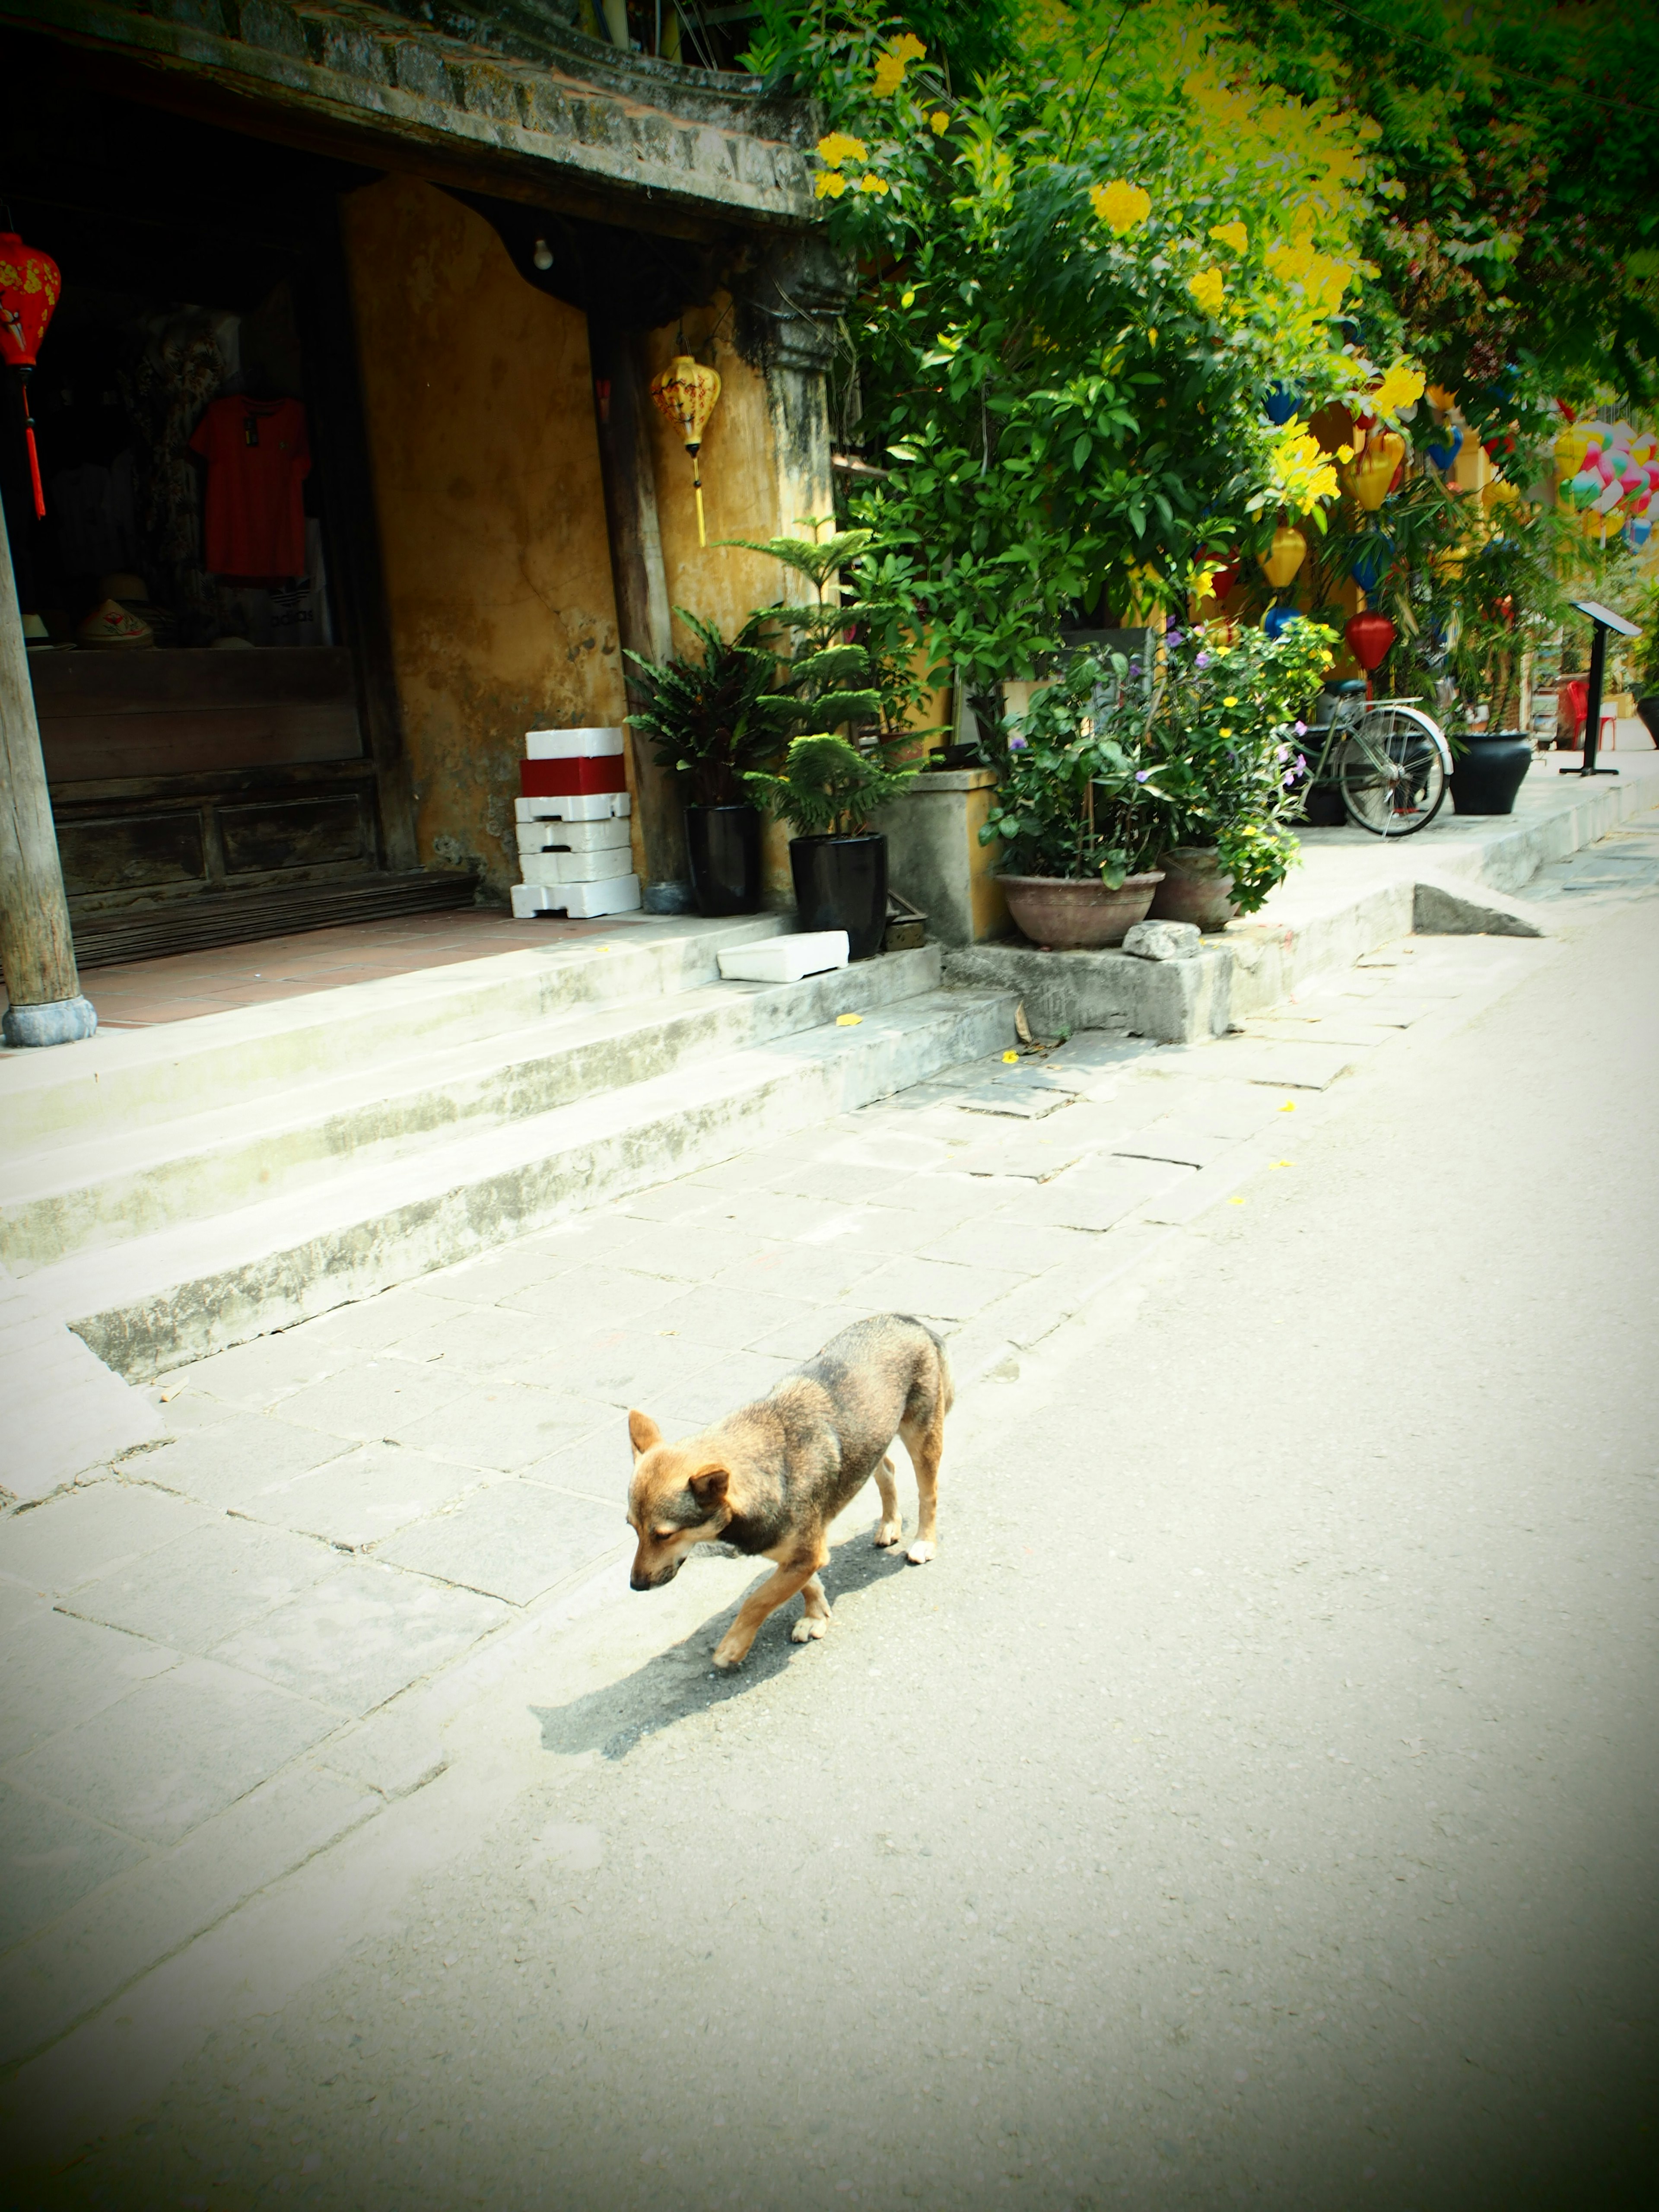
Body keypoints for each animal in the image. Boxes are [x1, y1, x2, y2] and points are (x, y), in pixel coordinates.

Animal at [628, 1309, 955, 1663]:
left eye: (664, 1535)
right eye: (632, 1528)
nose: (635, 1585)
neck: (767, 1468)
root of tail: (905, 1318)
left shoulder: (806, 1555)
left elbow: (758, 1600)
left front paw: (734, 1645)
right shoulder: (798, 1555)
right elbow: (805, 1586)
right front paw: (815, 1614)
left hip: (922, 1436)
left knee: (928, 1494)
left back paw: (924, 1542)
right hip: (871, 1440)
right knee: (886, 1472)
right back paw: (890, 1523)